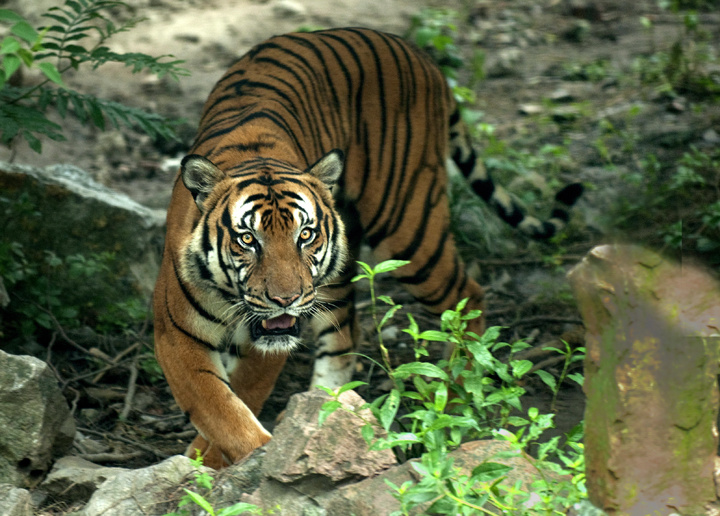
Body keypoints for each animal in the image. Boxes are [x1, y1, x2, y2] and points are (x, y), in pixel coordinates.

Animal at [152, 28, 580, 472]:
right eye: (248, 240)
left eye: (304, 235)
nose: (286, 300)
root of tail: (419, 54)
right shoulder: (176, 334)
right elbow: (218, 407)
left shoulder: (264, 339)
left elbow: (239, 400)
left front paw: (221, 465)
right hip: (342, 267)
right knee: (347, 330)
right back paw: (326, 412)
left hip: (408, 226)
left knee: (468, 294)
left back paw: (454, 395)